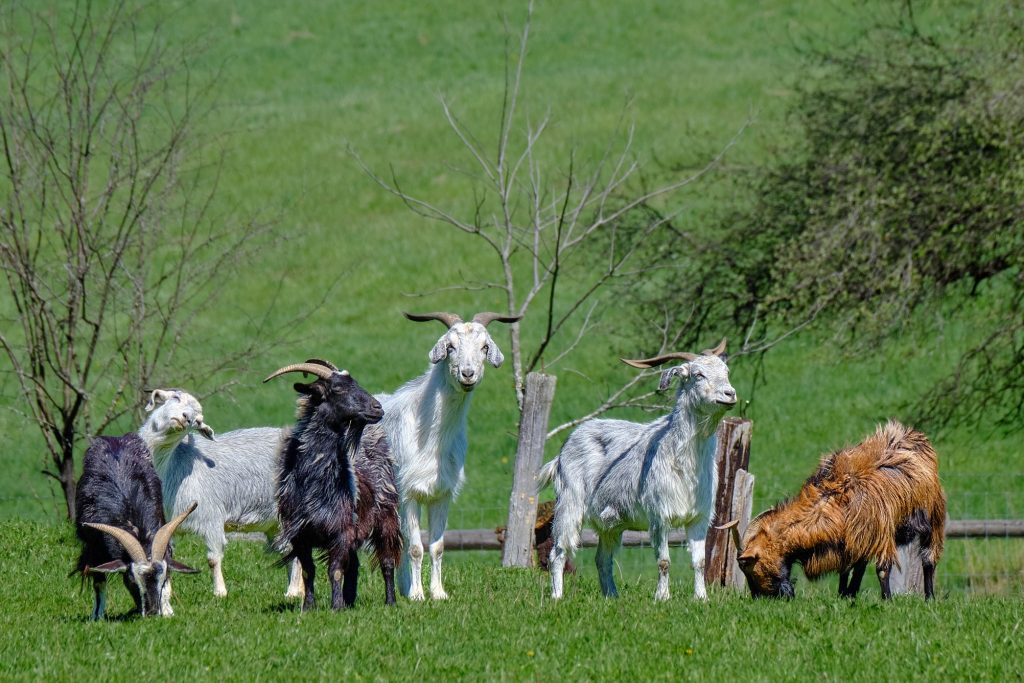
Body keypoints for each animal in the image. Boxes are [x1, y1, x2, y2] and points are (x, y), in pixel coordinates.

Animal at [73, 389, 209, 619]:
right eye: (130, 580)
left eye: (162, 580)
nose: (152, 612)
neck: (130, 514)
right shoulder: (94, 545)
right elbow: (98, 580)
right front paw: (97, 616)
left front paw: (167, 610)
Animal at [266, 359, 403, 611]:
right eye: (337, 389)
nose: (377, 408)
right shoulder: (301, 535)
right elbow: (308, 572)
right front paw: (309, 607)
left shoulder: (340, 531)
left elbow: (335, 570)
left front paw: (335, 607)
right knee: (355, 565)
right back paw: (350, 601)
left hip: (386, 516)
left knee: (387, 562)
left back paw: (390, 602)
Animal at [377, 311, 520, 601]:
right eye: (450, 346)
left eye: (484, 347)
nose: (468, 374)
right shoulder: (407, 492)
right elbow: (416, 547)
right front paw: (418, 596)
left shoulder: (442, 493)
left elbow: (437, 546)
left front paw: (437, 593)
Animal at [540, 339, 736, 601]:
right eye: (698, 375)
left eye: (726, 371)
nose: (730, 394)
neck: (684, 463)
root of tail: (564, 448)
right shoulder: (659, 516)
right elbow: (664, 561)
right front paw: (662, 597)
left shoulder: (699, 517)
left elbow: (700, 562)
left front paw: (701, 599)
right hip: (570, 504)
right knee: (559, 551)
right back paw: (557, 596)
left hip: (611, 524)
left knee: (602, 559)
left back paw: (612, 596)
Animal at [723, 420, 946, 600]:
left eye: (746, 566)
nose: (761, 598)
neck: (834, 499)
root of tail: (914, 435)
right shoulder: (851, 539)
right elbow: (849, 569)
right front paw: (845, 596)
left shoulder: (879, 532)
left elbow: (882, 569)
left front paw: (887, 601)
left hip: (934, 517)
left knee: (928, 559)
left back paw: (929, 598)